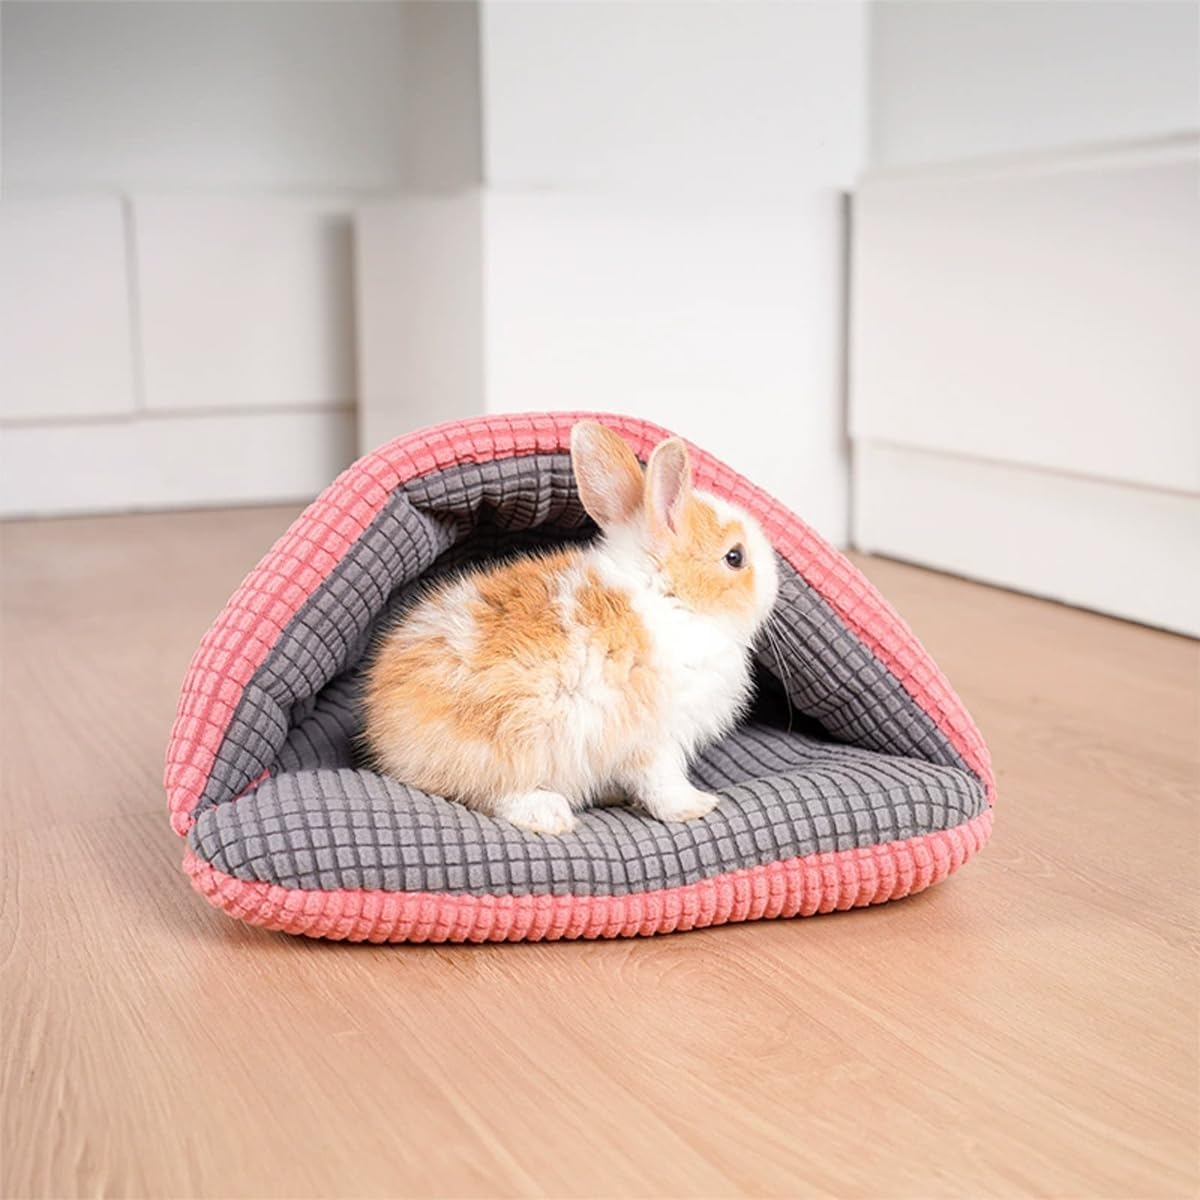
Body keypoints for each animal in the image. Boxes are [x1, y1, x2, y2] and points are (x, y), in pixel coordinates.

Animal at [362, 421, 780, 834]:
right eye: (735, 557)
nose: (776, 583)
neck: (667, 596)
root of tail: (385, 736)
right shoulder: (655, 738)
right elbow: (661, 781)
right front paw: (696, 806)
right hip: (508, 742)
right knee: (491, 792)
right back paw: (549, 815)